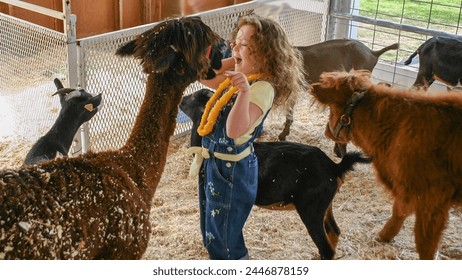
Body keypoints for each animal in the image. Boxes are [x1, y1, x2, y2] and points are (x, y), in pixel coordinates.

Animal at [308, 70, 462, 260]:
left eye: (332, 109)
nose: (327, 132)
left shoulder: (431, 198)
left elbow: (425, 244)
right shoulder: (409, 191)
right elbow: (399, 211)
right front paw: (384, 235)